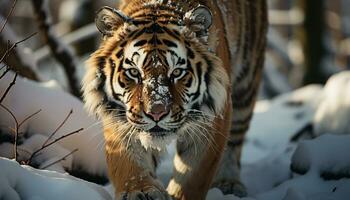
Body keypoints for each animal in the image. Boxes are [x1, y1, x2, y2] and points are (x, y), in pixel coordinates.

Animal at [82, 0, 268, 199]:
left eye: (177, 72)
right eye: (134, 72)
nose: (156, 113)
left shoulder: (210, 121)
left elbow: (193, 176)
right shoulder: (120, 118)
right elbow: (130, 163)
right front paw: (141, 191)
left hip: (246, 85)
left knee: (234, 143)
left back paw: (229, 183)